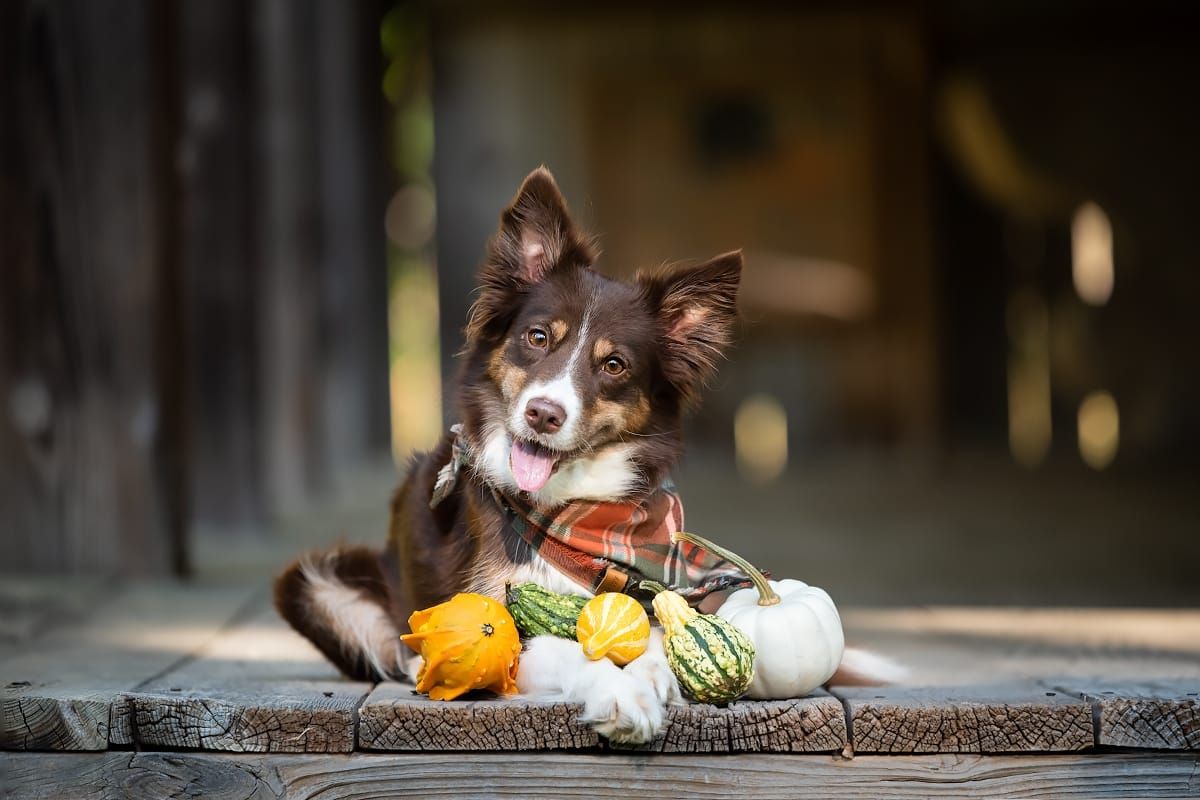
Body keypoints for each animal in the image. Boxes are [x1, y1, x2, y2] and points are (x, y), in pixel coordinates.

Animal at [274, 164, 892, 743]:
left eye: (614, 365)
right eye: (538, 337)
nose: (543, 414)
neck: (570, 508)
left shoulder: (649, 595)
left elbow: (656, 637)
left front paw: (653, 673)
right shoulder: (492, 623)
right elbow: (568, 649)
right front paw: (621, 695)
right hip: (310, 582)